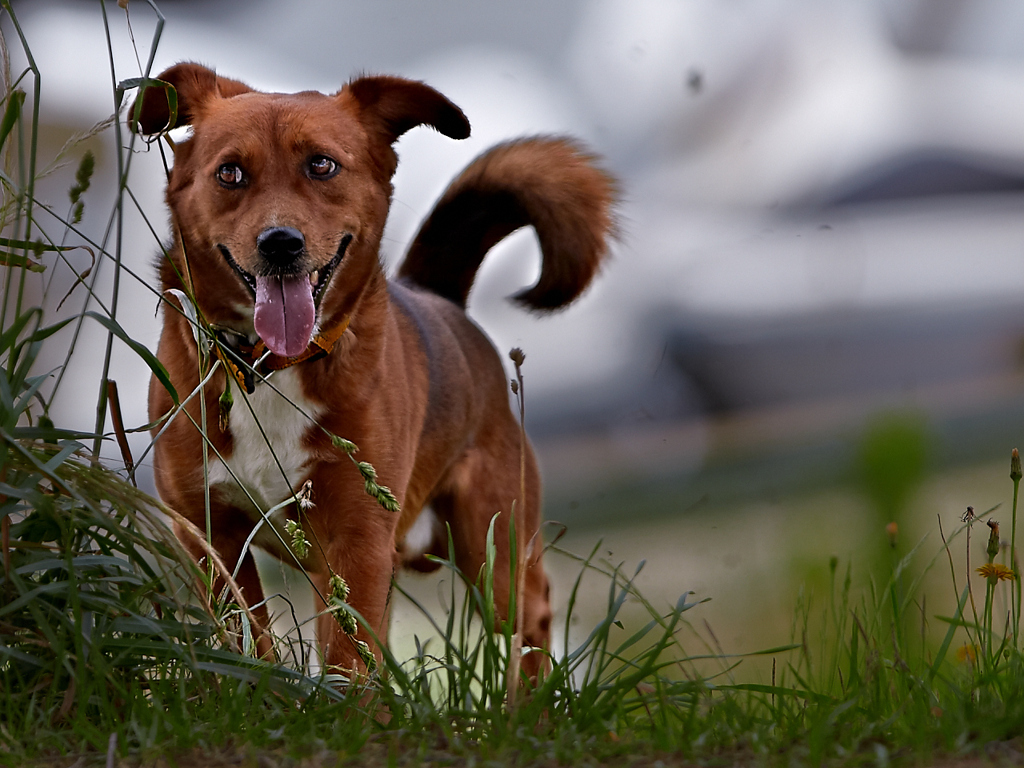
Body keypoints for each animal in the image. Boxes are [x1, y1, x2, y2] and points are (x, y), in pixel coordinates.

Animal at [136, 64, 614, 679]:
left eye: (322, 164)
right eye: (230, 173)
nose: (280, 243)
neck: (270, 365)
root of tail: (439, 299)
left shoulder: (358, 538)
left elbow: (349, 667)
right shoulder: (210, 537)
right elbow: (248, 646)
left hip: (496, 551)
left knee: (528, 628)